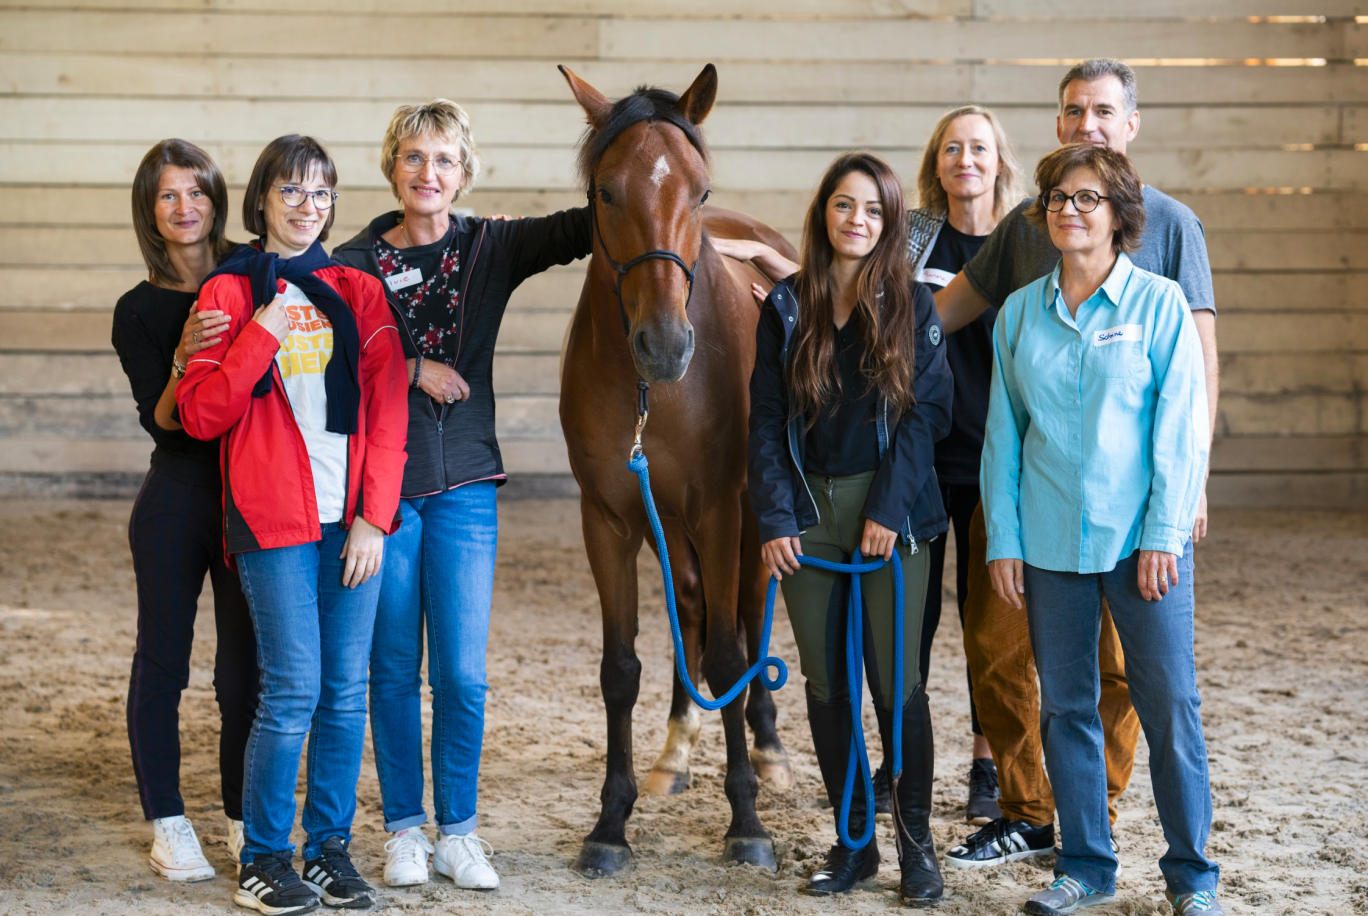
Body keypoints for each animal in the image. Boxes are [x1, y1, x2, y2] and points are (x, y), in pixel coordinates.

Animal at [555, 62, 798, 874]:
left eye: (699, 190)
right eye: (606, 192)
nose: (665, 345)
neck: (652, 393)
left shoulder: (720, 509)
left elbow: (727, 654)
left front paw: (747, 823)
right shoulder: (609, 519)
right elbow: (620, 668)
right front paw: (611, 822)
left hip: (747, 519)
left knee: (748, 614)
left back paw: (769, 748)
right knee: (690, 607)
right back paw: (676, 749)